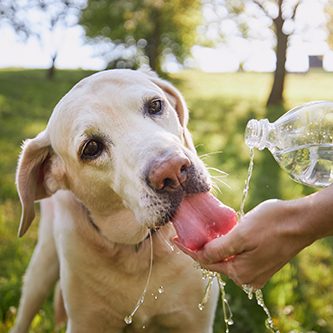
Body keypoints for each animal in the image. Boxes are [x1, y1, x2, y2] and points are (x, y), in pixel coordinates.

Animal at [11, 70, 218, 332]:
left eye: (155, 105)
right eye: (91, 147)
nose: (172, 170)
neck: (138, 250)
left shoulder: (195, 322)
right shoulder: (85, 323)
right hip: (42, 265)